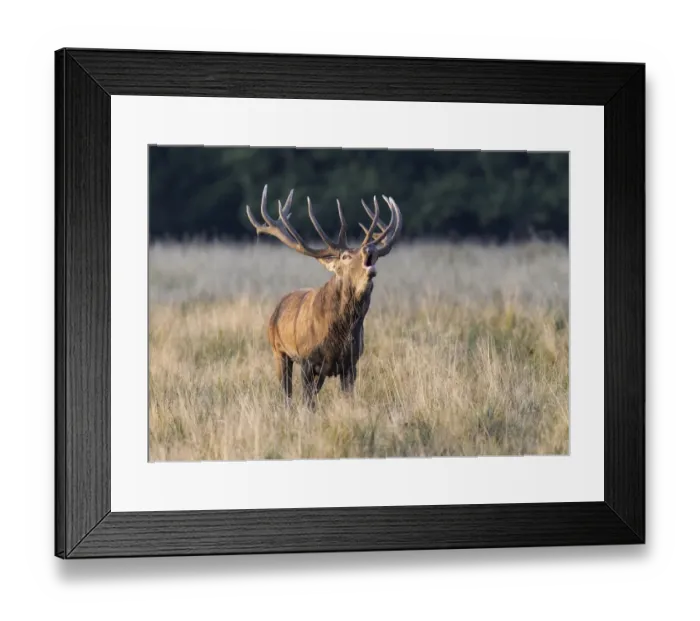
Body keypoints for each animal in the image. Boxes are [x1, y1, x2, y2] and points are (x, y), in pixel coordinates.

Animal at [246, 185, 402, 408]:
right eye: (345, 256)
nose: (369, 248)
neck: (338, 334)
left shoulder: (351, 363)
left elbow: (347, 398)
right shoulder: (307, 359)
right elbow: (307, 403)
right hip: (278, 350)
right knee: (286, 394)